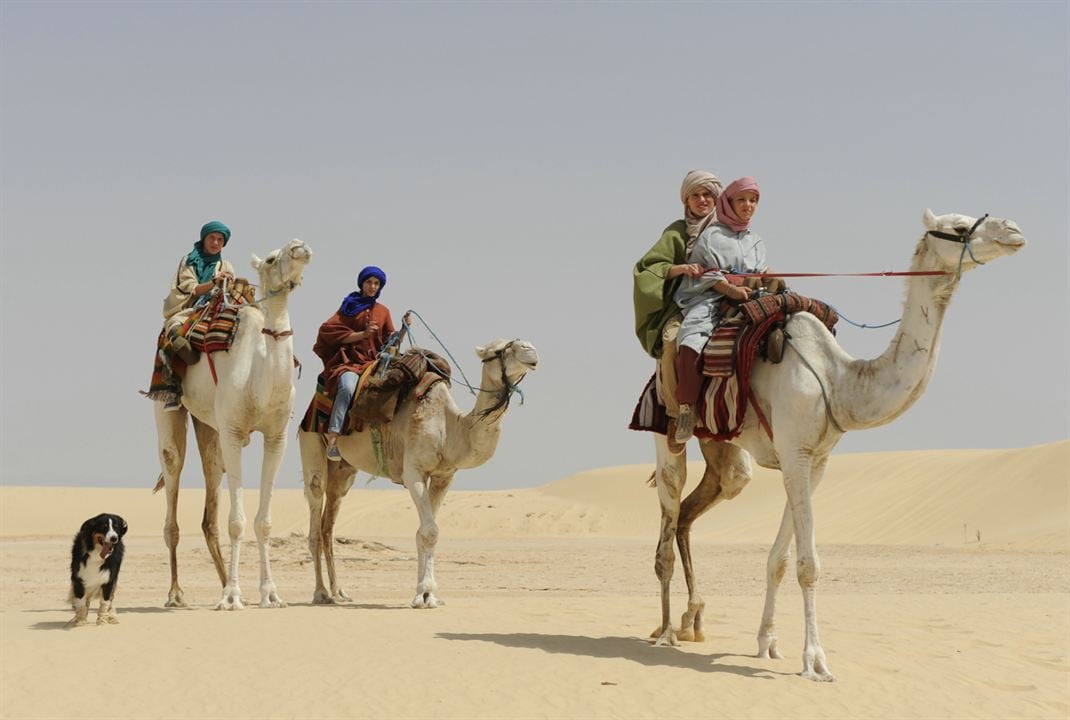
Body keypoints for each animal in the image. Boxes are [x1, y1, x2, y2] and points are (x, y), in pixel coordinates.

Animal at [155, 238, 312, 607]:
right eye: (270, 258)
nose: (299, 246)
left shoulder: (277, 436)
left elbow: (264, 522)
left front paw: (270, 594)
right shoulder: (233, 432)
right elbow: (237, 522)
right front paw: (232, 597)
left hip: (209, 429)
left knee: (210, 499)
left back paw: (223, 581)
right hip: (169, 413)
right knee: (173, 476)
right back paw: (176, 593)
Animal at [299, 338, 535, 607]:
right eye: (498, 350)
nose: (531, 350)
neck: (448, 429)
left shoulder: (444, 476)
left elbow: (424, 532)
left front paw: (426, 595)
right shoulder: (413, 472)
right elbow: (430, 531)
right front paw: (425, 593)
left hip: (343, 471)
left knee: (328, 524)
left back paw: (339, 591)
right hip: (312, 442)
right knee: (315, 511)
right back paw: (321, 593)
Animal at [646, 209, 1022, 680]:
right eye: (957, 227)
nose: (1014, 232)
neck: (838, 380)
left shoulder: (814, 461)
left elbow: (780, 560)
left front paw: (768, 643)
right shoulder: (795, 454)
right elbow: (808, 565)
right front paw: (816, 660)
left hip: (724, 447)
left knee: (700, 503)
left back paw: (691, 621)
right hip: (668, 429)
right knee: (669, 507)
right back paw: (665, 631)